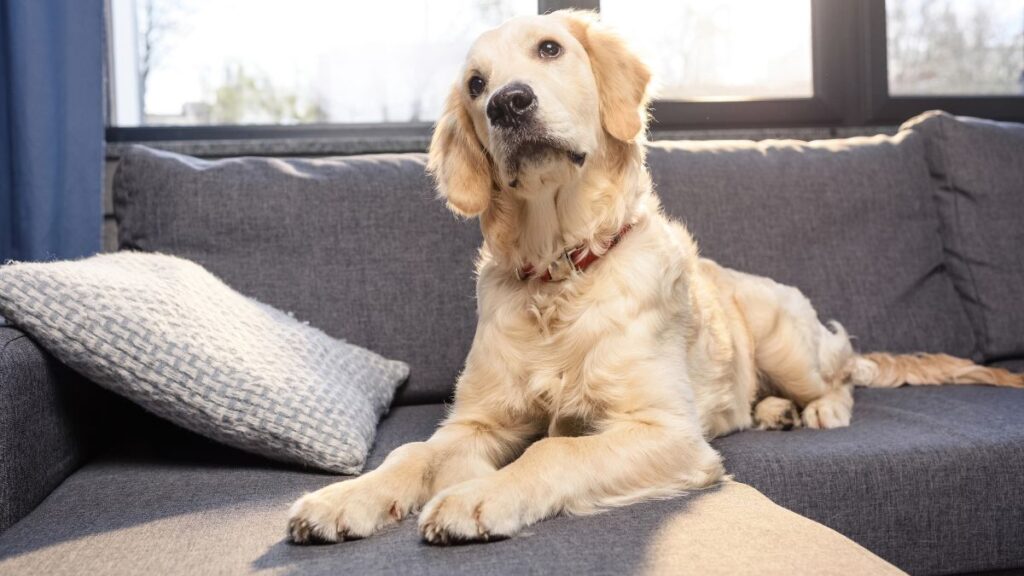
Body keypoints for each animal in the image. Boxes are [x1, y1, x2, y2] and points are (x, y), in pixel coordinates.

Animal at [288, 11, 1024, 545]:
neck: (561, 269)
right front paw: (345, 498)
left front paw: (477, 496)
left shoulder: (667, 432)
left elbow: (553, 454)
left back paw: (816, 410)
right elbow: (411, 454)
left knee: (843, 378)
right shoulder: (476, 420)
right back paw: (772, 412)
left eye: (550, 49)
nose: (507, 103)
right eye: (475, 84)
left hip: (785, 340)